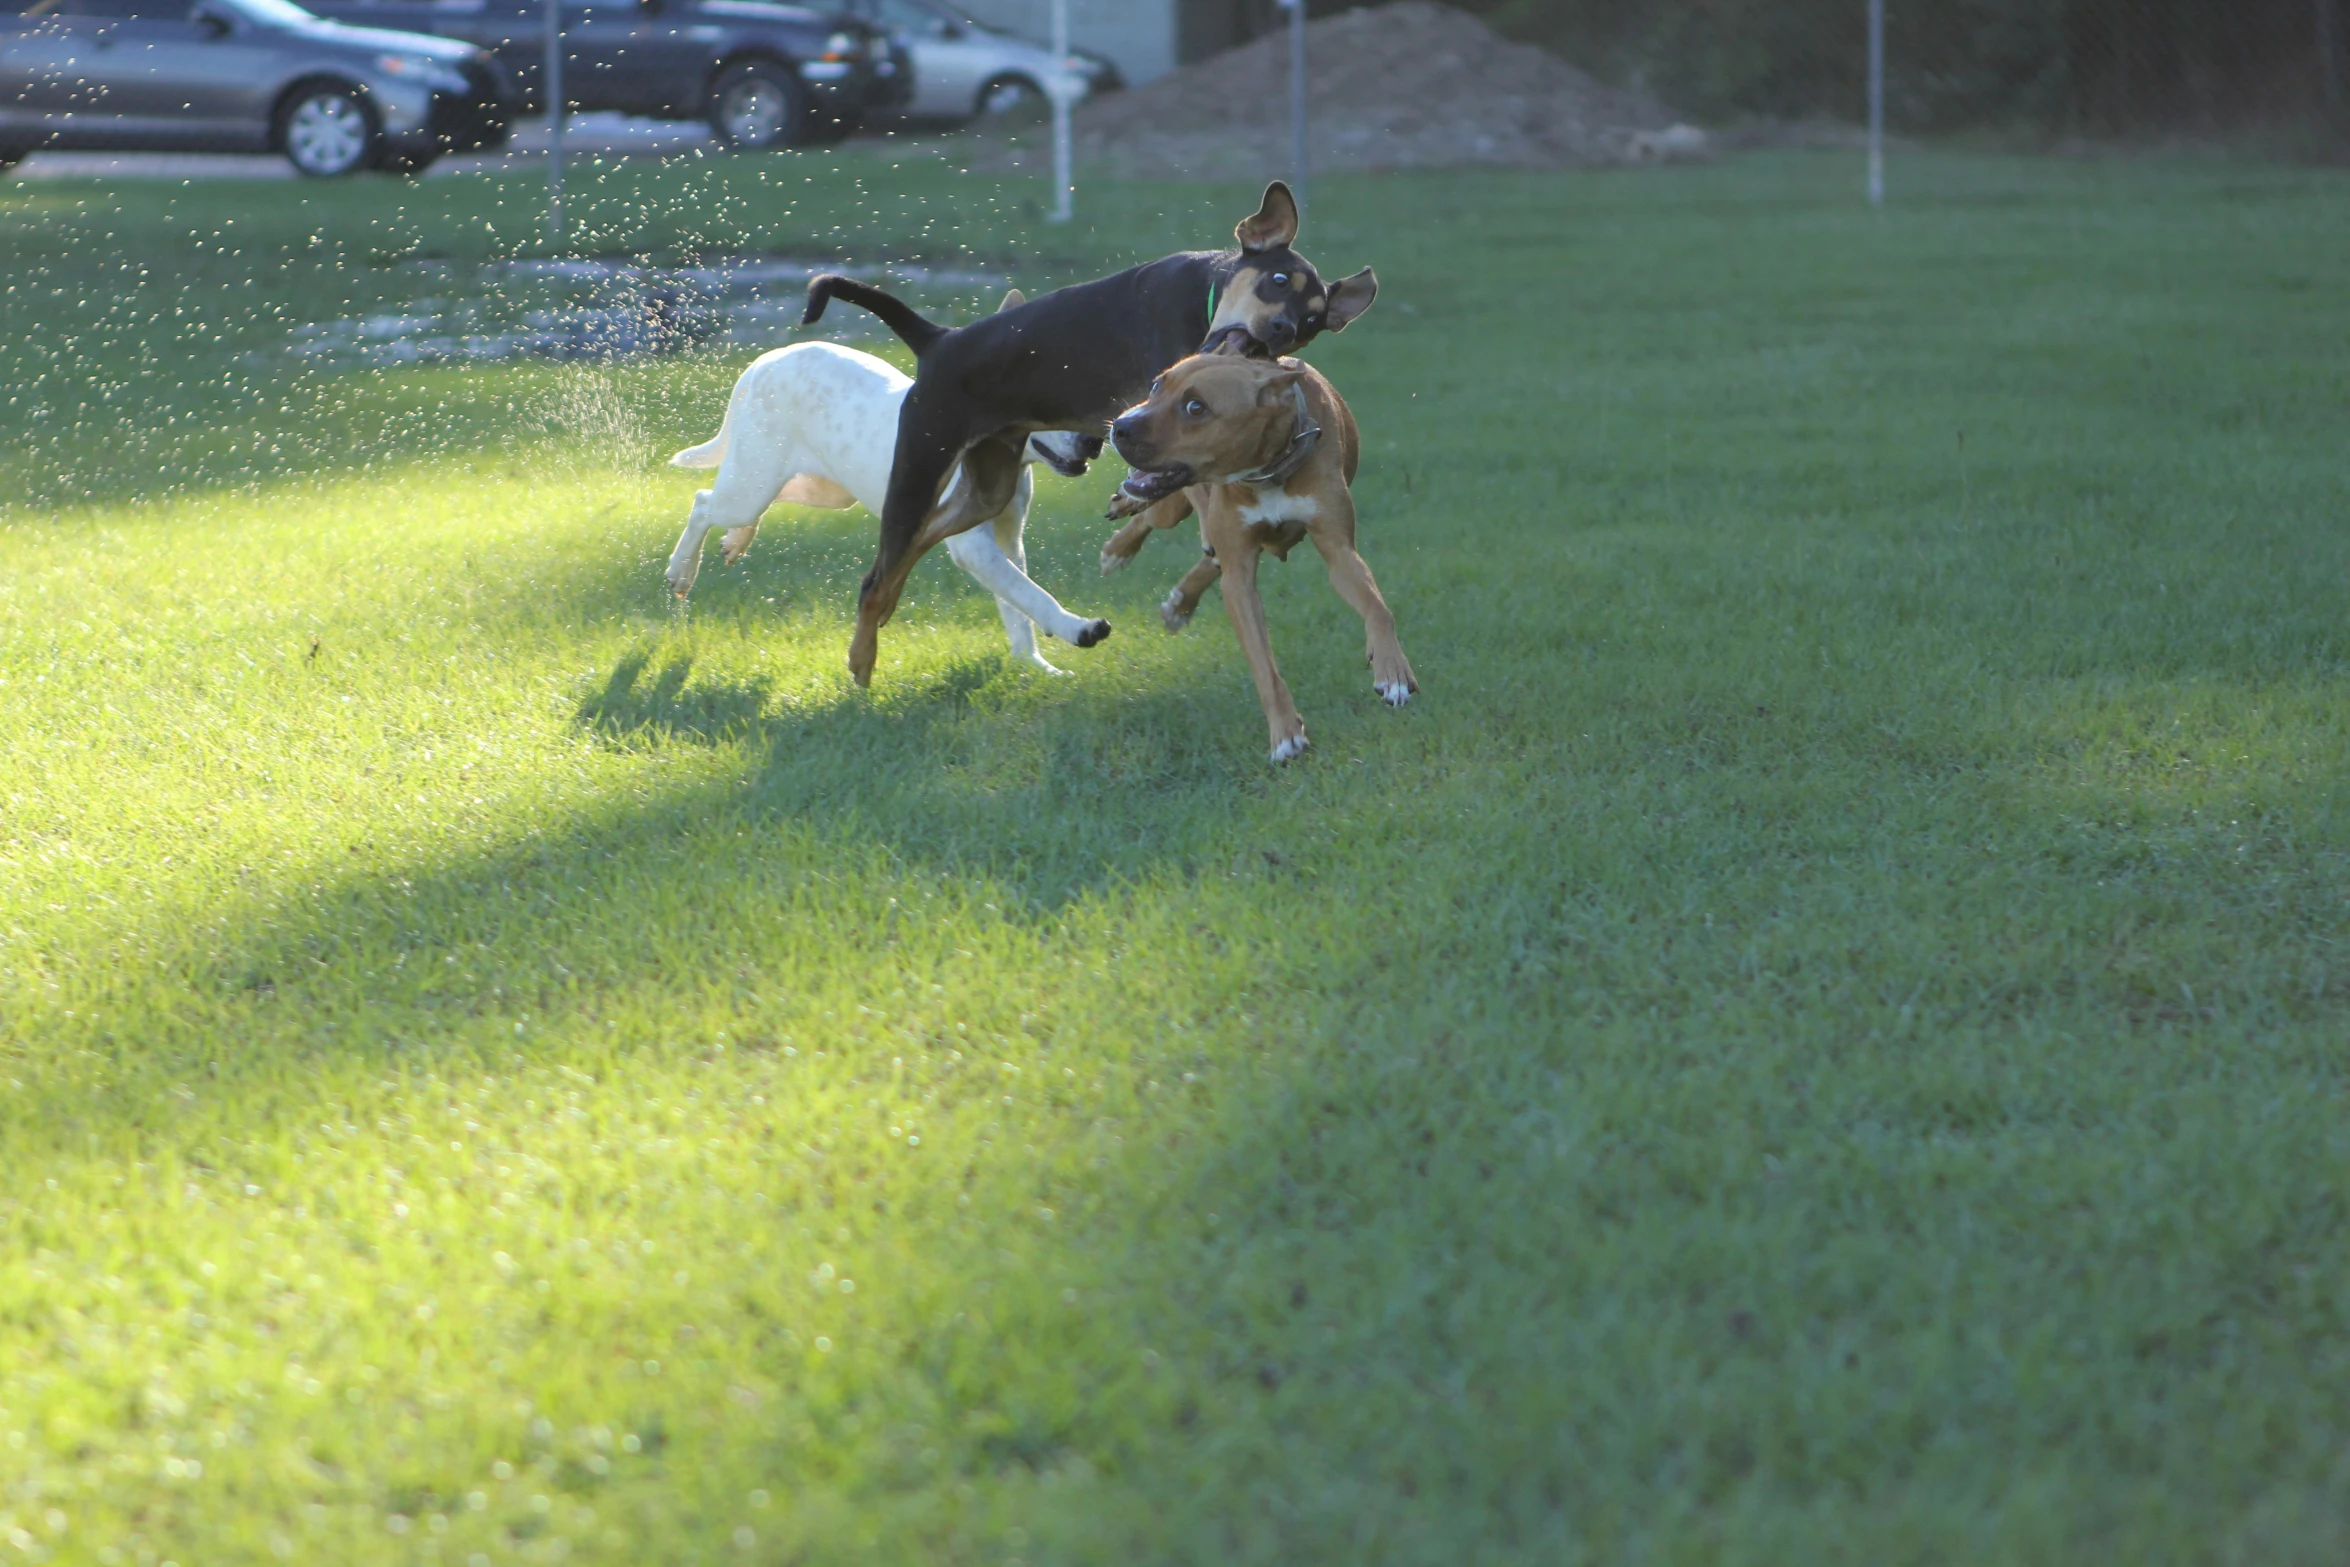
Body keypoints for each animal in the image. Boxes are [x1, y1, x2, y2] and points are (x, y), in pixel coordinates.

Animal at [658, 305, 1104, 676]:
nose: (1096, 440)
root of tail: (764, 361)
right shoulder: (974, 546)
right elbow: (1030, 594)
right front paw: (1076, 628)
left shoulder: (1008, 540)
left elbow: (1017, 604)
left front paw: (1033, 665)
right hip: (752, 485)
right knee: (704, 503)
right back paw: (682, 569)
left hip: (819, 487)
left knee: (750, 502)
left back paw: (736, 540)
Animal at [803, 184, 1372, 686]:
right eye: (1276, 280)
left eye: (1312, 322)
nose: (1282, 330)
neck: (1204, 302)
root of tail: (938, 340)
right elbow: (1186, 493)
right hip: (921, 464)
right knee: (879, 572)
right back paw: (861, 659)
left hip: (986, 487)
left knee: (915, 546)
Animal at [1104, 350, 1410, 765]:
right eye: (1156, 386)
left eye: (1196, 407)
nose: (1120, 424)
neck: (1268, 471)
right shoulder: (1239, 577)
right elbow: (1263, 664)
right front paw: (1285, 734)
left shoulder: (1339, 552)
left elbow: (1378, 609)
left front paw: (1391, 671)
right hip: (1175, 507)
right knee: (1155, 516)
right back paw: (1120, 542)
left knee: (1204, 550)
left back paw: (1180, 600)